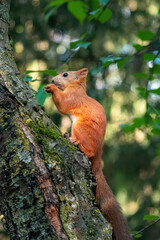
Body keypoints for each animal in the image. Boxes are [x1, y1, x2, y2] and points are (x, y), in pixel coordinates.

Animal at [44, 68, 131, 240]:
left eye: (65, 74)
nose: (52, 79)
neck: (76, 87)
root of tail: (99, 153)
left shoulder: (73, 98)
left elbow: (63, 104)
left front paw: (51, 88)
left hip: (80, 128)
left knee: (89, 151)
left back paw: (76, 143)